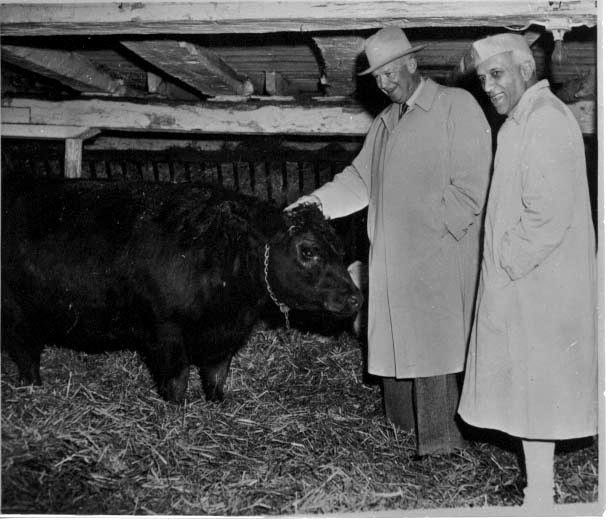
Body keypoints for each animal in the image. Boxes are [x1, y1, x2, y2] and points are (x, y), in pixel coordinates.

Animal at [2, 178, 360, 404]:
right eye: (308, 251)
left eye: (342, 250)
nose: (356, 297)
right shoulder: (165, 332)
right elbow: (177, 380)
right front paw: (177, 414)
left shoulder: (224, 335)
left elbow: (216, 375)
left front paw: (218, 404)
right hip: (16, 314)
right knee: (25, 353)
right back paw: (33, 388)